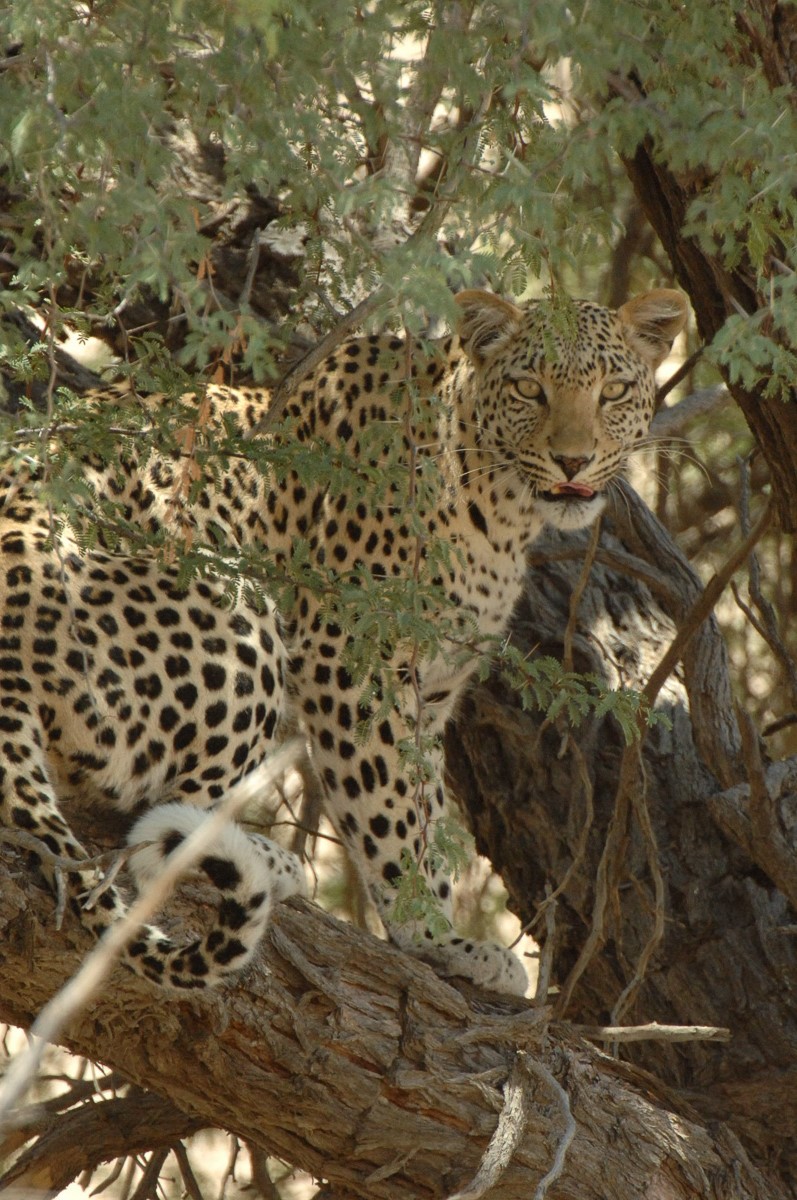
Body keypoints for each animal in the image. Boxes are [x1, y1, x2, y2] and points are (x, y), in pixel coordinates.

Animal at [0, 285, 687, 995]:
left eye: (612, 391)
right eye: (529, 388)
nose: (573, 460)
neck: (502, 510)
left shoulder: (431, 690)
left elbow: (425, 810)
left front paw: (443, 925)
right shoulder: (352, 656)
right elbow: (387, 815)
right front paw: (434, 939)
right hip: (238, 610)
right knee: (157, 833)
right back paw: (275, 863)